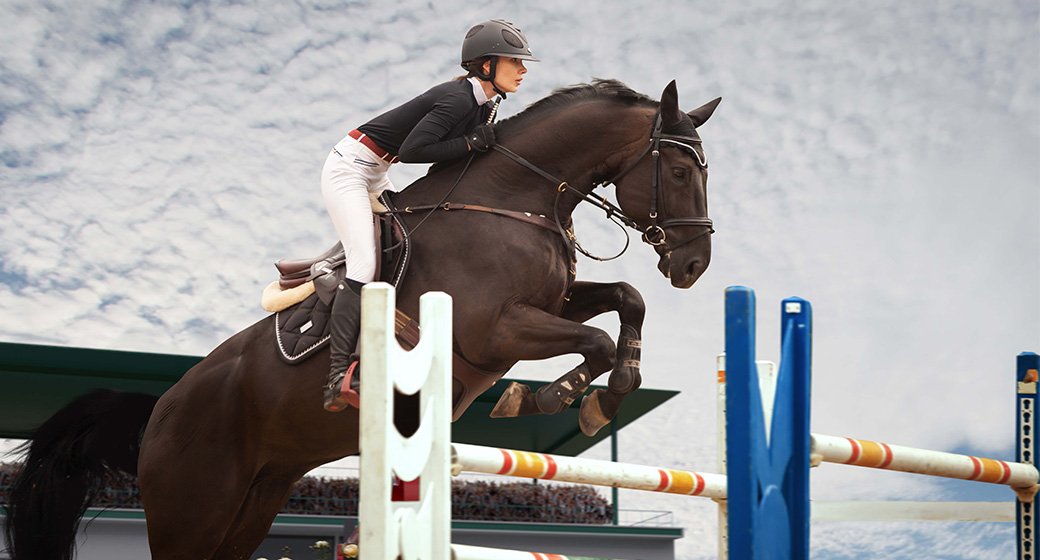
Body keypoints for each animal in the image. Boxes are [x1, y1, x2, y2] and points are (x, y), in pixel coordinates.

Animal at [3, 79, 719, 559]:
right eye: (683, 170)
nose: (694, 265)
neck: (516, 197)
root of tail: (158, 410)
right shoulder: (494, 329)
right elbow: (593, 338)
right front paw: (551, 397)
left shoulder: (547, 304)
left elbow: (626, 299)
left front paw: (608, 393)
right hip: (193, 510)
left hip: (251, 503)